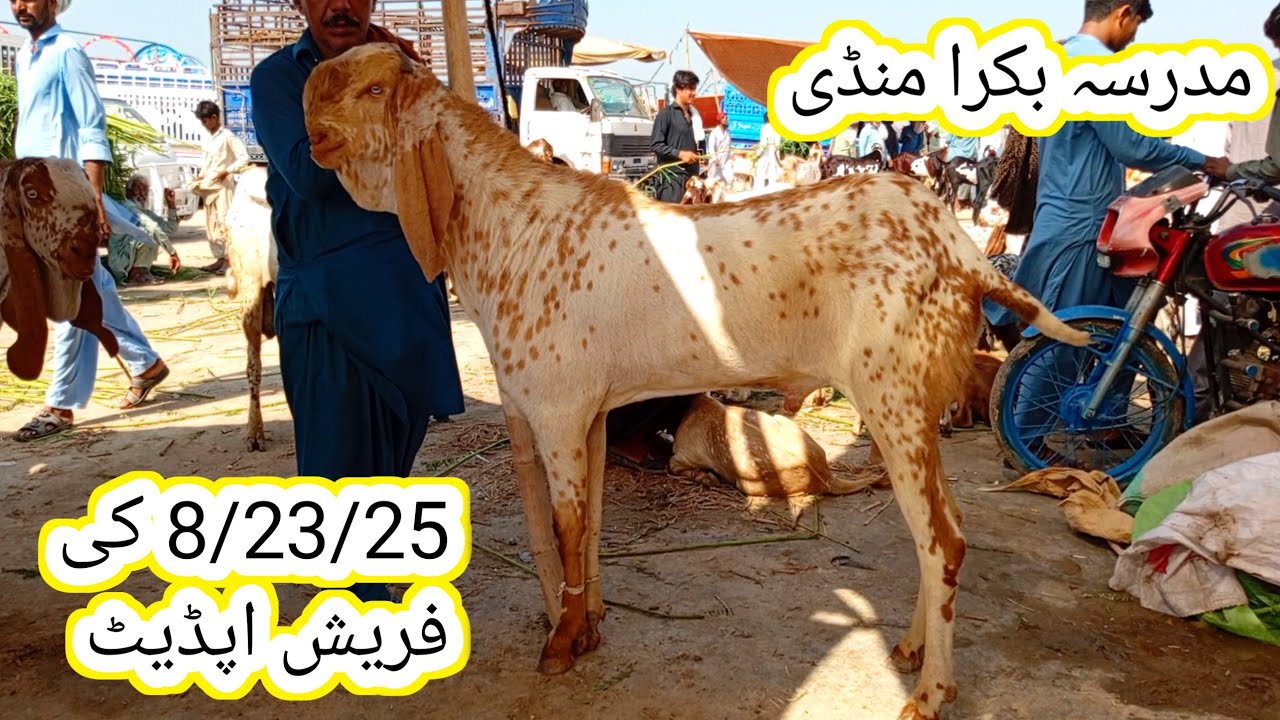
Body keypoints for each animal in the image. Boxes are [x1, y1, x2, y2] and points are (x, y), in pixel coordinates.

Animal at [302, 44, 1090, 720]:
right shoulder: (590, 413)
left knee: (942, 543)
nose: (308, 122)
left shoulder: (554, 410)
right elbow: (590, 523)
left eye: (372, 90)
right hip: (917, 407)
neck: (511, 228)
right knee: (950, 529)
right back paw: (912, 649)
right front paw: (589, 628)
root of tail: (961, 248)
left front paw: (559, 645)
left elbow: (563, 526)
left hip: (892, 401)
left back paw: (929, 692)